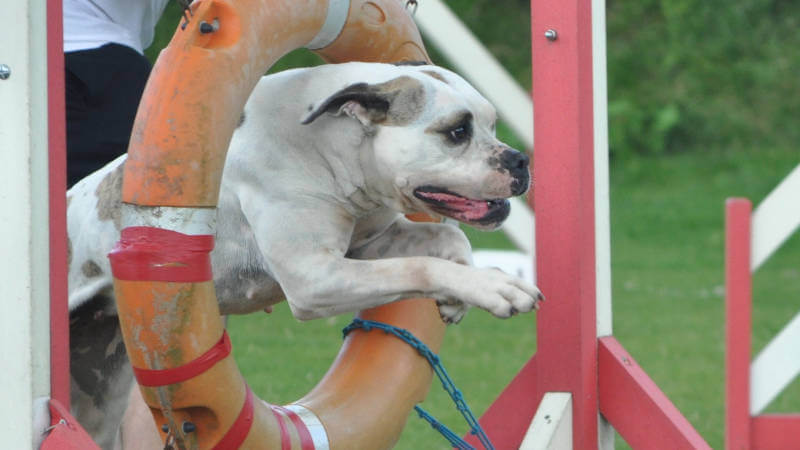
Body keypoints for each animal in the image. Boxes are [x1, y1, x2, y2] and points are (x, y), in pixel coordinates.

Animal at [67, 62, 544, 446]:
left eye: (493, 124)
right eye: (457, 131)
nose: (520, 161)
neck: (329, 146)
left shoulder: (367, 247)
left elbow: (446, 240)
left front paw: (459, 294)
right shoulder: (316, 277)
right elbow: (420, 265)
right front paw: (497, 287)